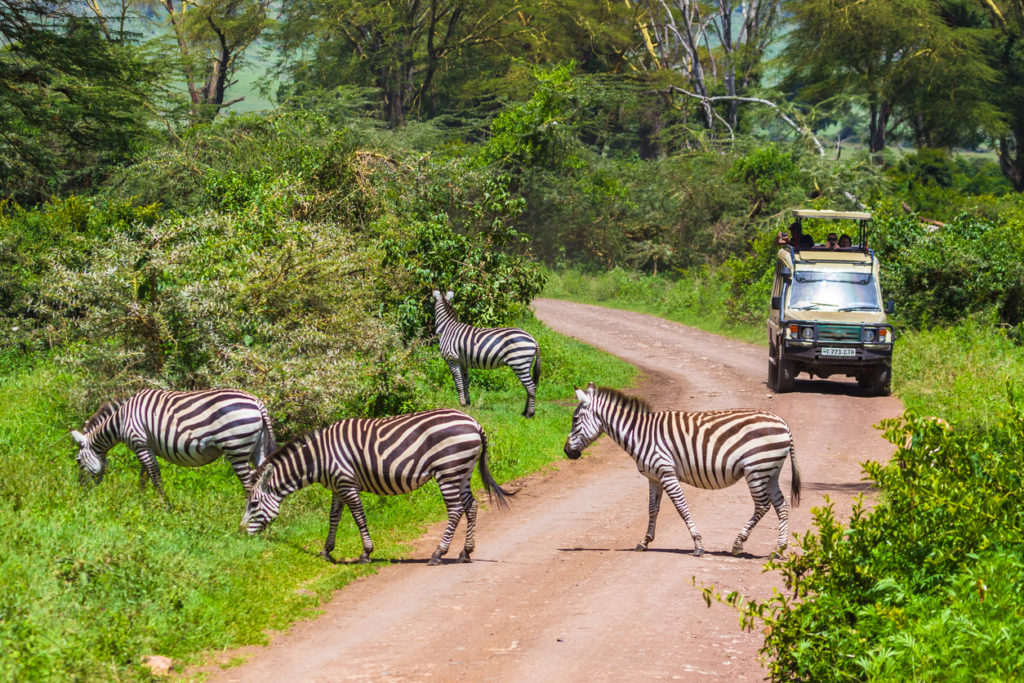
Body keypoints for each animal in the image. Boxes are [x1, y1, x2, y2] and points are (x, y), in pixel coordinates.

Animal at [69, 389, 278, 501]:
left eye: (78, 461)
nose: (80, 492)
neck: (121, 420)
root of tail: (258, 403)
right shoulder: (146, 446)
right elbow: (144, 476)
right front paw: (140, 500)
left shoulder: (140, 444)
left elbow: (154, 476)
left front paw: (164, 506)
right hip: (258, 447)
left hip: (237, 449)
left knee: (249, 483)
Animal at [240, 409, 512, 565]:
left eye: (253, 503)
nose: (243, 534)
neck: (319, 458)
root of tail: (474, 423)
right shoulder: (337, 487)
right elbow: (333, 518)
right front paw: (326, 551)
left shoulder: (347, 483)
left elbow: (359, 517)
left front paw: (366, 553)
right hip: (461, 471)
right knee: (472, 506)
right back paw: (466, 552)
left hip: (448, 469)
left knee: (455, 510)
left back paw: (438, 554)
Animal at [432, 286, 544, 417]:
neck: (447, 328)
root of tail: (533, 339)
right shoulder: (463, 361)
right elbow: (465, 382)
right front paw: (468, 403)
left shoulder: (452, 359)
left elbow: (458, 383)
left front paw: (461, 404)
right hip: (526, 364)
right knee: (529, 387)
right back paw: (525, 411)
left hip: (519, 363)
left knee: (531, 387)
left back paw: (529, 414)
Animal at [561, 382, 798, 557]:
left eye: (574, 419)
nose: (566, 452)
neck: (639, 434)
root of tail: (783, 423)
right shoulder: (654, 478)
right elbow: (652, 509)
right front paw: (644, 541)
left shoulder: (667, 473)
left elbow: (681, 508)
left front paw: (698, 544)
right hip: (771, 472)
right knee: (782, 505)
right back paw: (778, 549)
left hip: (756, 470)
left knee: (762, 505)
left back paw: (739, 544)